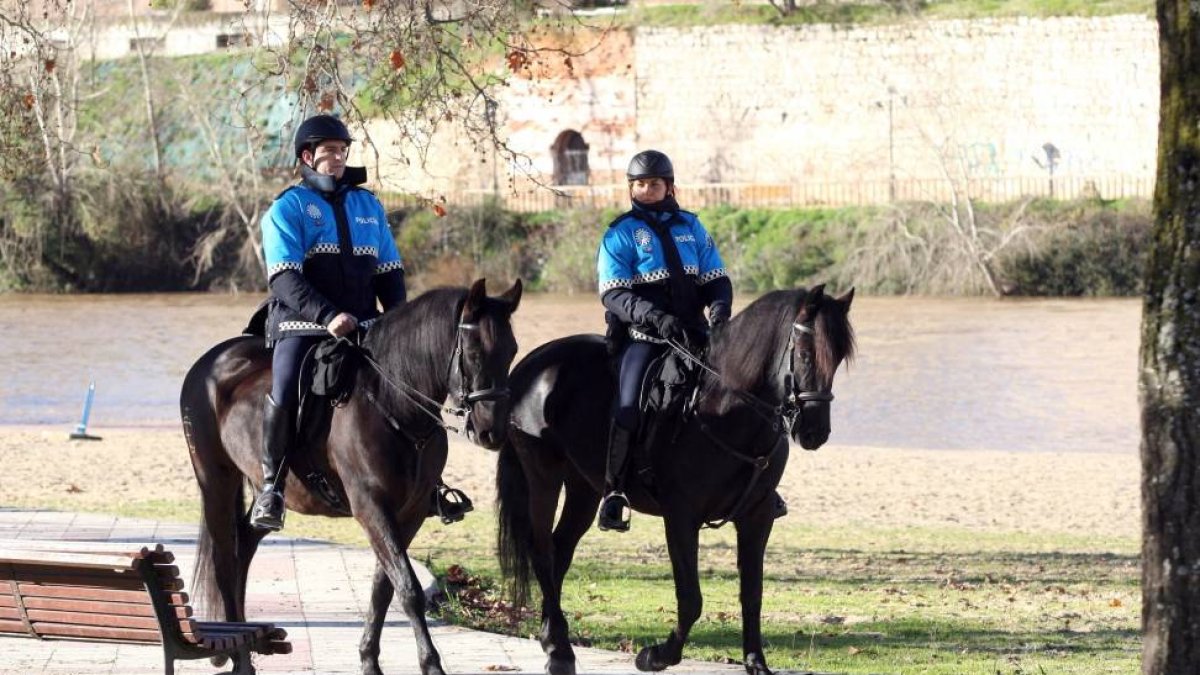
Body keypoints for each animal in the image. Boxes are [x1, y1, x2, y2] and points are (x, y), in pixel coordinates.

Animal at [180, 278, 521, 675]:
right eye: (475, 352)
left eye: (512, 351)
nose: (491, 431)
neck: (391, 400)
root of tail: (210, 363)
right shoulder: (371, 507)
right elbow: (408, 587)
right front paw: (431, 664)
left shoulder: (409, 514)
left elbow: (384, 587)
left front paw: (369, 660)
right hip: (214, 481)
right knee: (223, 560)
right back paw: (239, 656)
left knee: (243, 547)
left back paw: (245, 644)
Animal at [495, 284, 854, 675]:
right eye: (804, 353)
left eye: (838, 359)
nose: (815, 431)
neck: (726, 409)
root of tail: (532, 365)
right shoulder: (681, 517)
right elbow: (691, 598)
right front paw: (656, 655)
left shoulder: (756, 518)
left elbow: (752, 594)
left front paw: (756, 663)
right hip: (543, 475)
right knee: (542, 550)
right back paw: (559, 651)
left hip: (583, 487)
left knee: (560, 550)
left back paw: (552, 638)